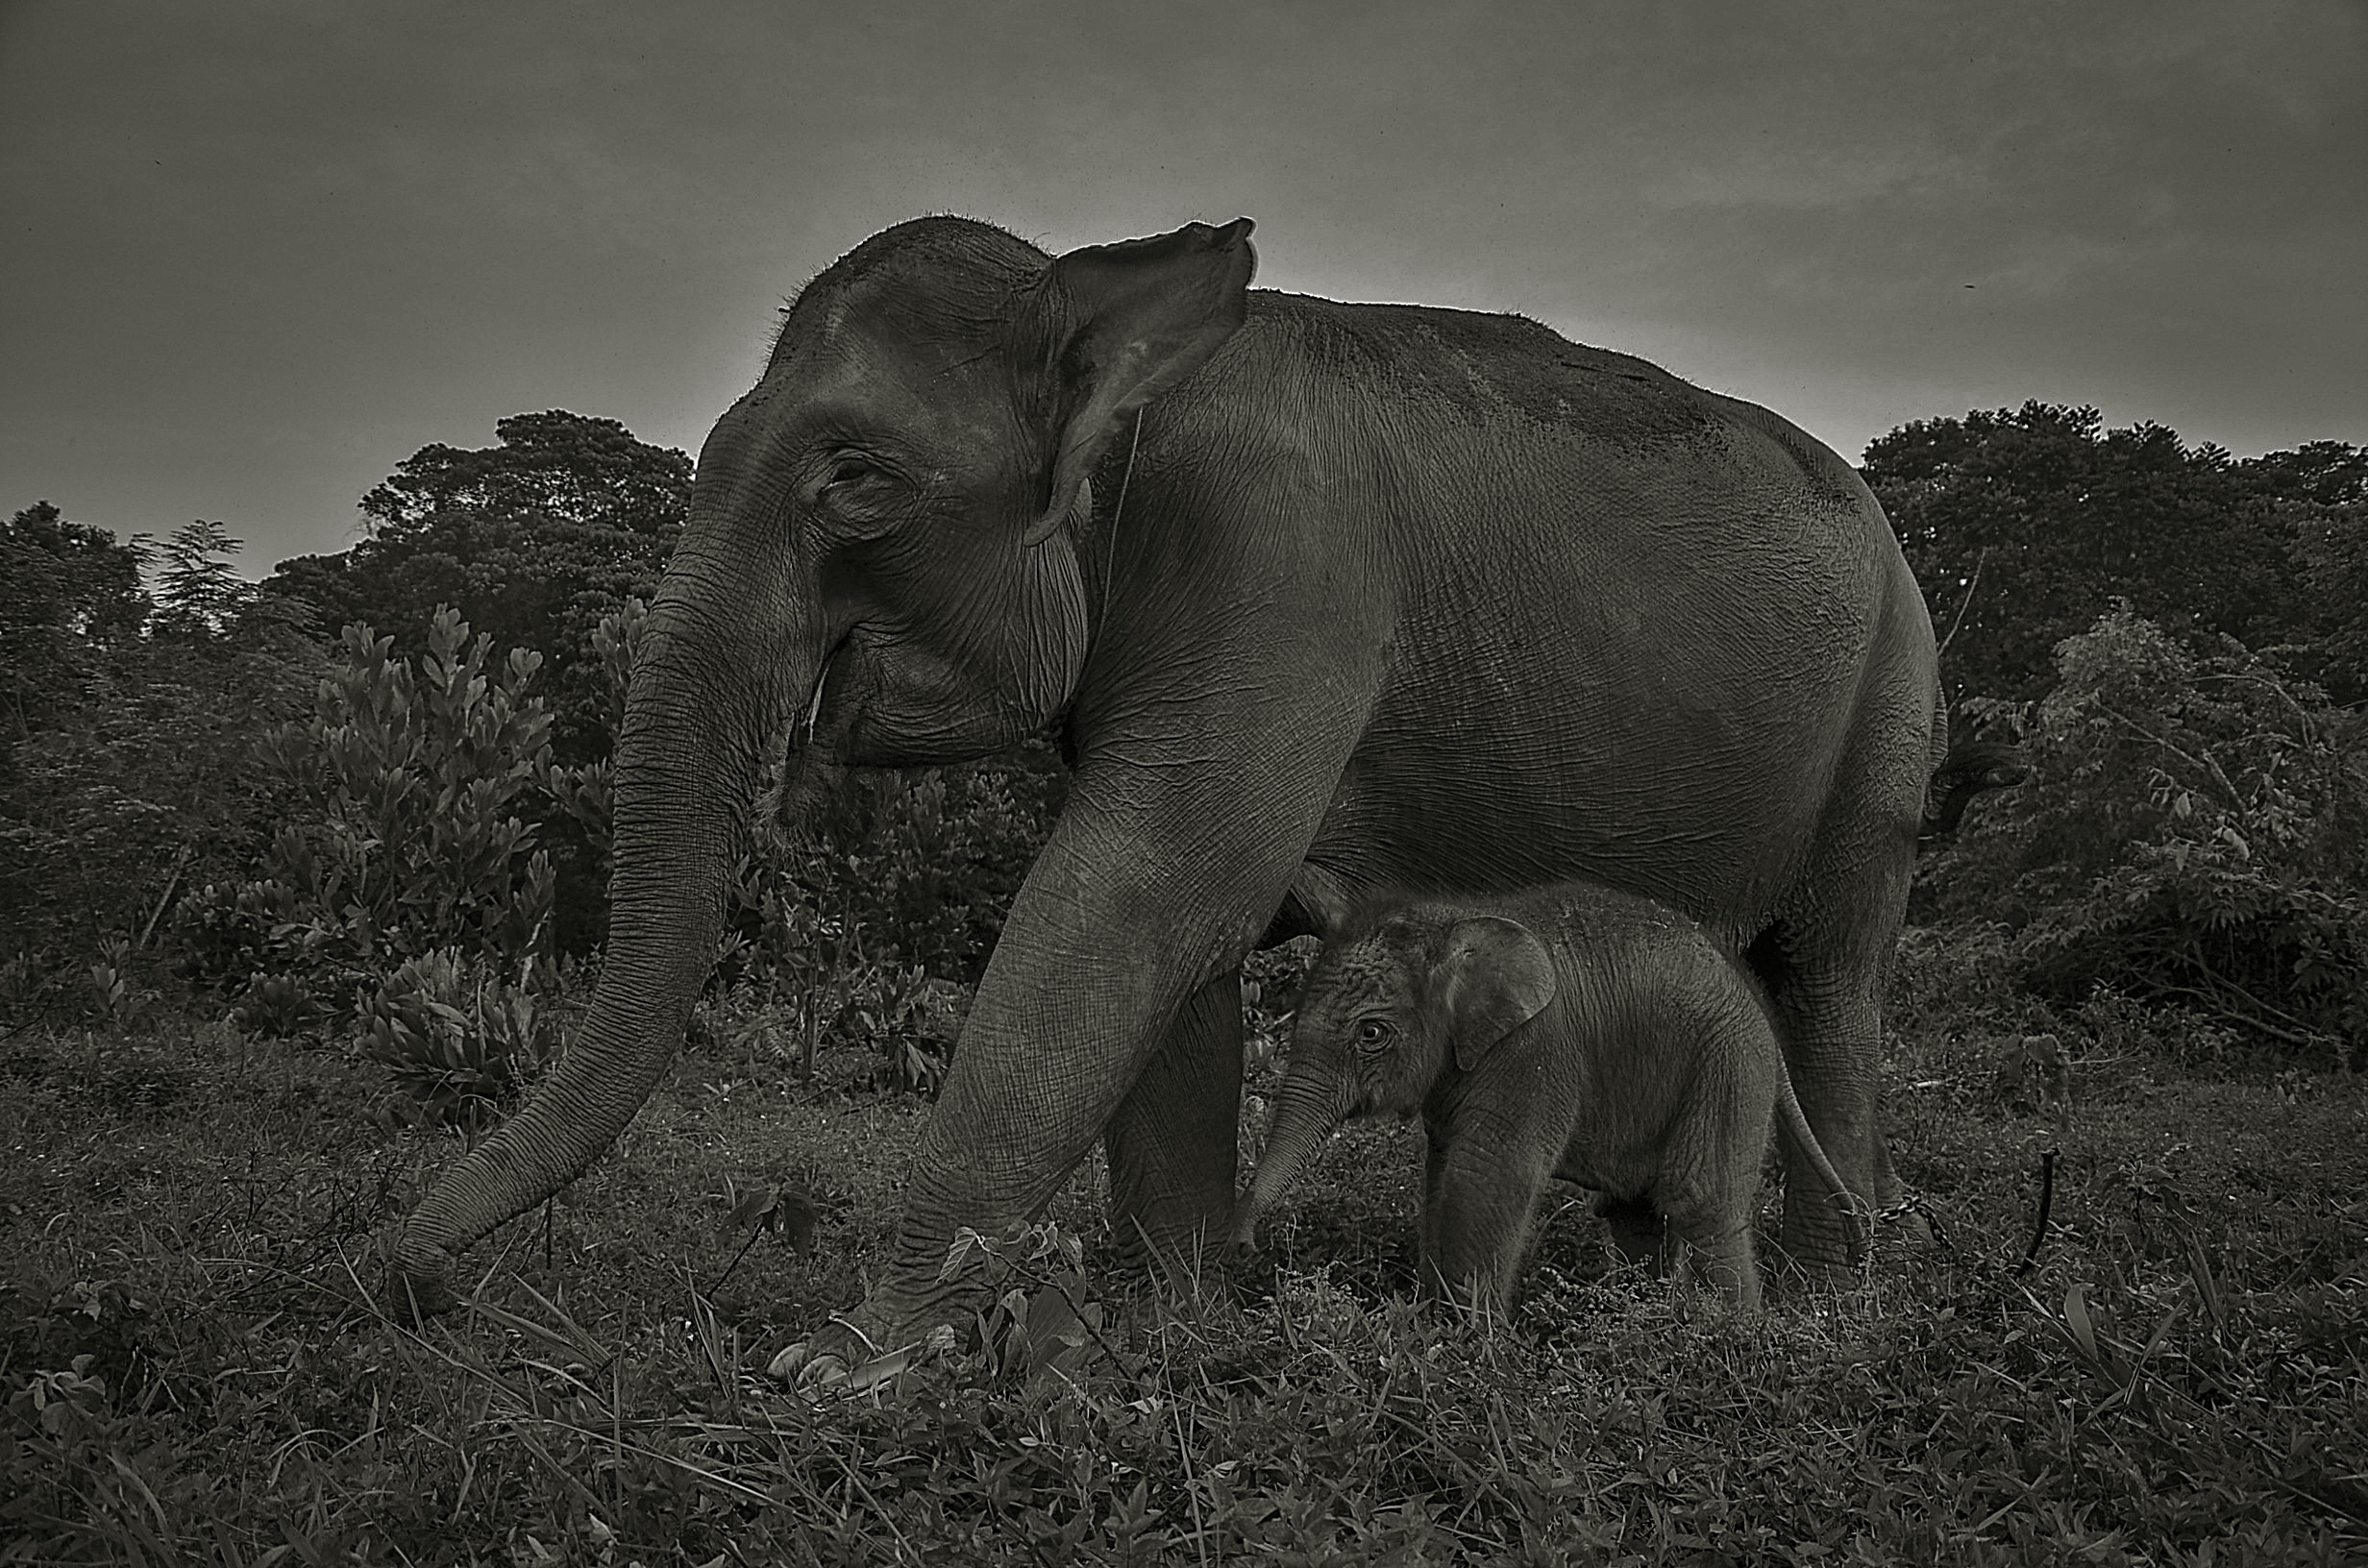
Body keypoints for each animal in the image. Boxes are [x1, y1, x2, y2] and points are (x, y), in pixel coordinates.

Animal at [1231, 886, 1856, 1316]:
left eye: (1371, 1034)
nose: (1244, 1248)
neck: (1454, 920)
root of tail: (1755, 1003)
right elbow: (1442, 1173)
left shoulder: (1534, 1051)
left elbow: (1486, 1174)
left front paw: (1468, 1351)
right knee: (1634, 1210)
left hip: (1729, 1063)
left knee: (1700, 1200)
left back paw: (1733, 1336)